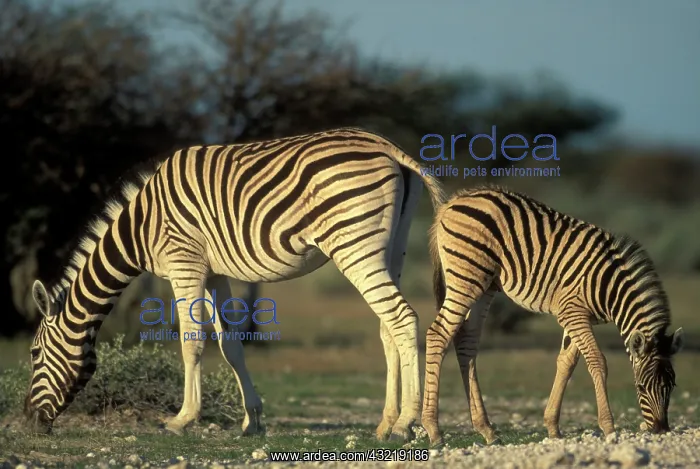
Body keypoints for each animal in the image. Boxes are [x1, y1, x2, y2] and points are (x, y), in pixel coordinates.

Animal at [23, 127, 446, 443]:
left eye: (33, 353)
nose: (28, 421)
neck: (141, 227)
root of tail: (386, 146)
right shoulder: (214, 273)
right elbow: (230, 345)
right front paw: (252, 421)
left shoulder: (185, 264)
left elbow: (192, 341)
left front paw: (181, 419)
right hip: (391, 248)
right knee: (388, 327)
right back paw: (386, 423)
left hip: (354, 245)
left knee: (402, 318)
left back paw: (407, 423)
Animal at [420, 184, 684, 446]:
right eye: (640, 387)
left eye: (672, 386)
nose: (661, 430)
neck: (609, 287)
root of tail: (454, 200)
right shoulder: (573, 313)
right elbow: (597, 361)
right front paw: (609, 428)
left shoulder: (578, 317)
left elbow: (566, 363)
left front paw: (553, 427)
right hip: (467, 275)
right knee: (438, 334)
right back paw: (434, 430)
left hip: (485, 285)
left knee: (465, 341)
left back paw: (486, 429)